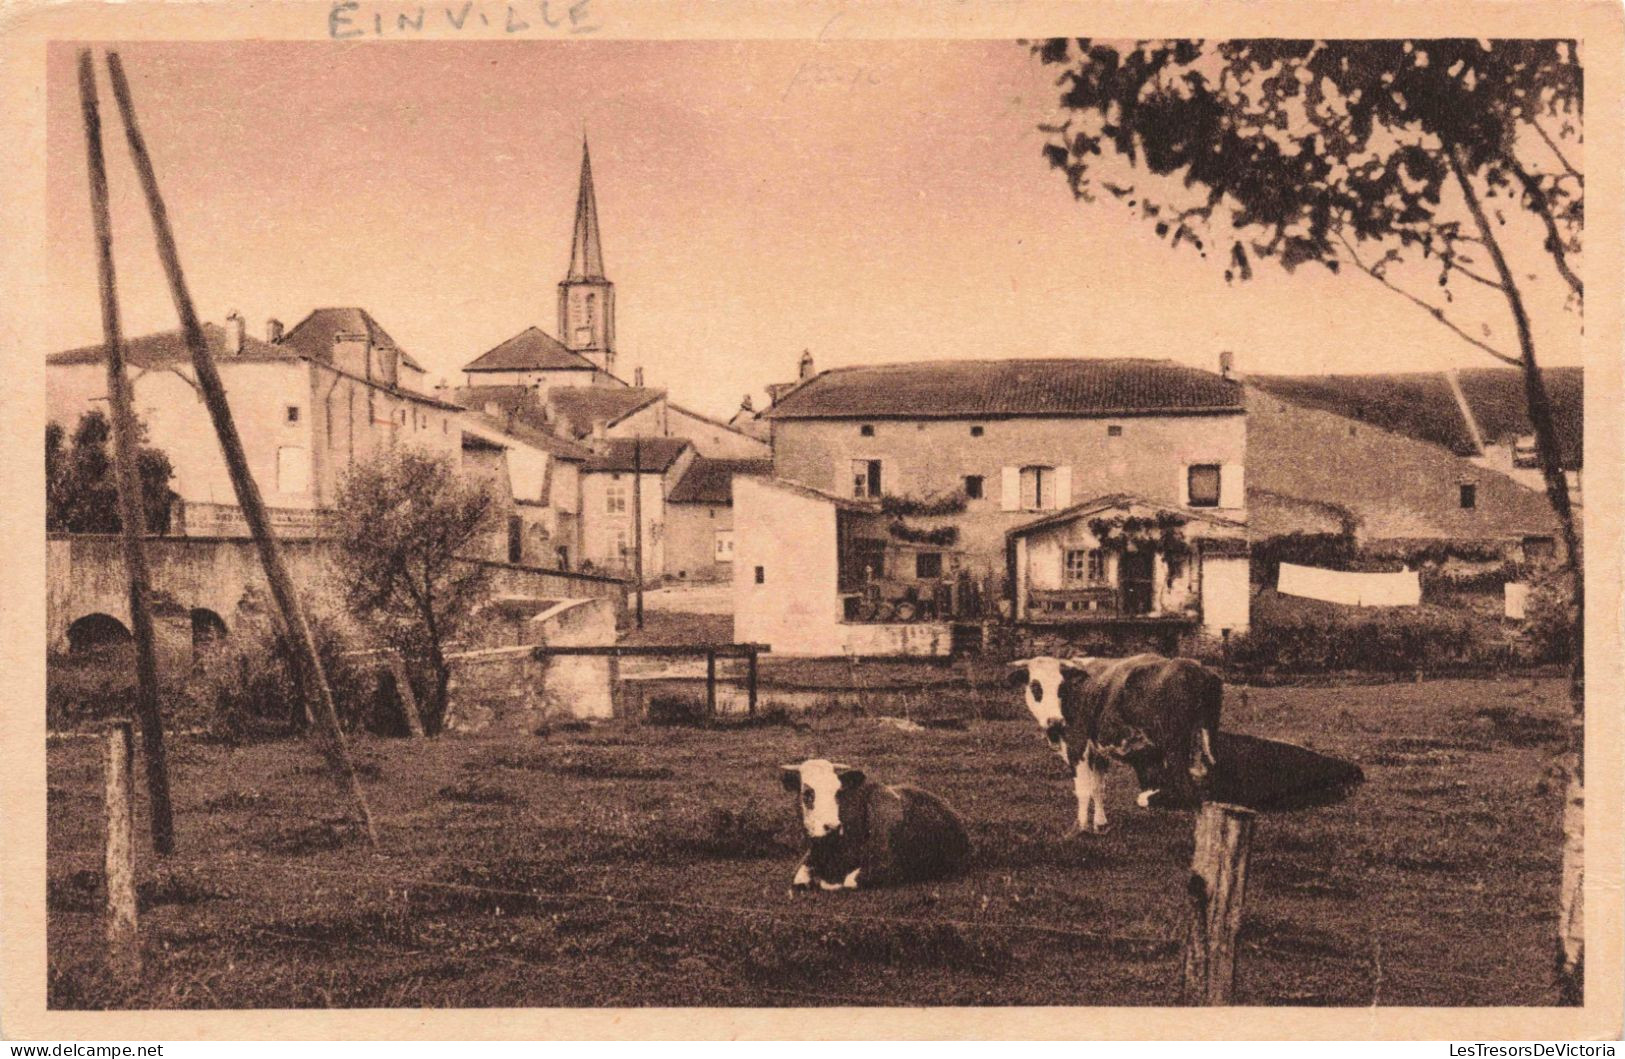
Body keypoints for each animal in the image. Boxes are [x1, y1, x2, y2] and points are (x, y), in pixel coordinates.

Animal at [780, 756, 968, 890]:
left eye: (839, 792)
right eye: (807, 794)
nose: (832, 827)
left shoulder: (888, 865)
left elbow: (848, 882)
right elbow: (799, 879)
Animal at [1001, 652, 1222, 838]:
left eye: (1061, 688)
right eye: (1035, 686)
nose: (1054, 721)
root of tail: (1196, 668)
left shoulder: (1076, 745)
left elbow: (1083, 789)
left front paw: (1079, 829)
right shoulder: (1099, 753)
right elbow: (1098, 788)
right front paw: (1100, 825)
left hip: (1175, 752)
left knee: (1190, 793)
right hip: (1205, 748)